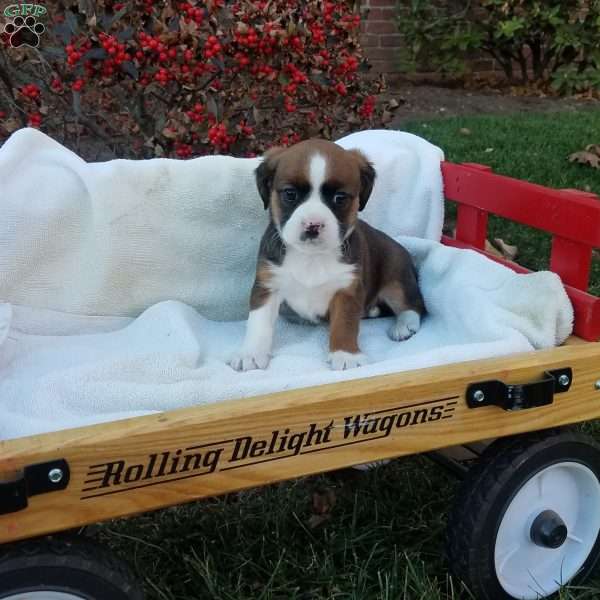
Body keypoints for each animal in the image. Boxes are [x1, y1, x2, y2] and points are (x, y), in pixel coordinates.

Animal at [227, 139, 424, 370]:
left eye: (339, 198)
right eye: (290, 194)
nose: (313, 225)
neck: (311, 257)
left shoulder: (347, 290)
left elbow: (345, 324)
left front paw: (346, 354)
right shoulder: (268, 285)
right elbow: (258, 323)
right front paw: (251, 353)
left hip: (396, 279)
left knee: (415, 306)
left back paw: (404, 325)